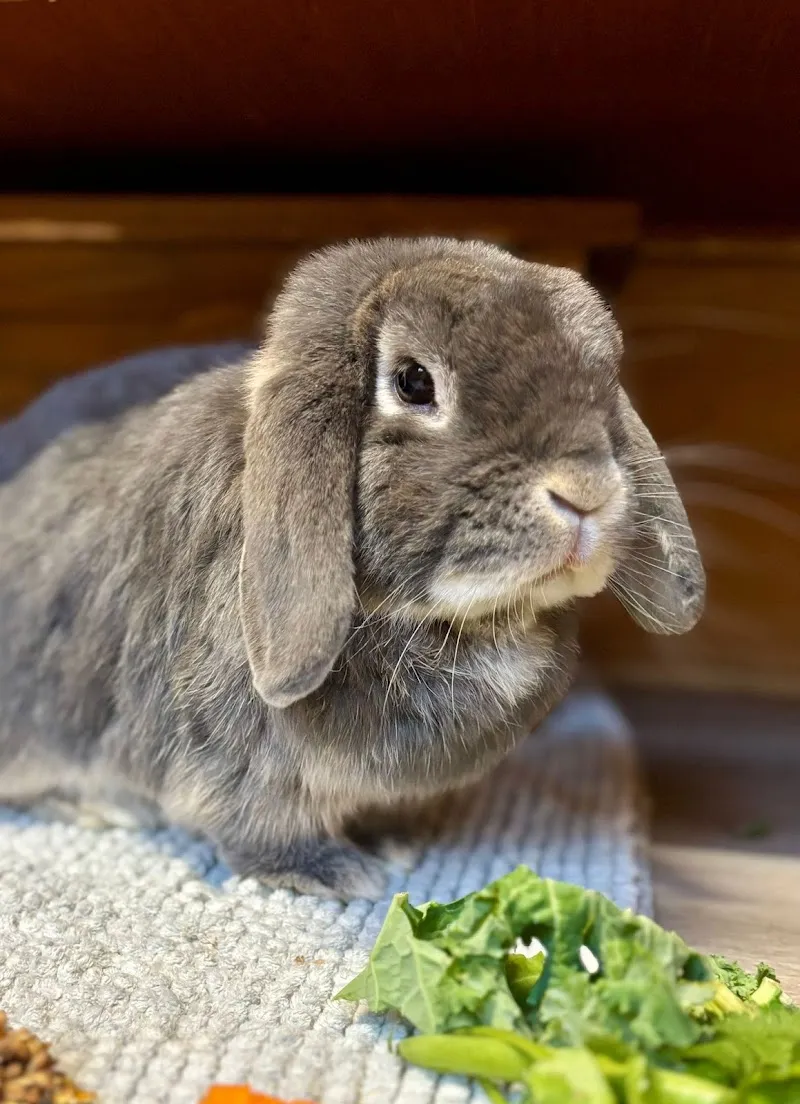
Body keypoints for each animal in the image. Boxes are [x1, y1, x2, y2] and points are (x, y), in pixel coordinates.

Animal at [0, 237, 705, 899]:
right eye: (414, 382)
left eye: (604, 382)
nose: (586, 490)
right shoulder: (233, 753)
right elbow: (255, 822)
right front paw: (331, 872)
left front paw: (393, 843)